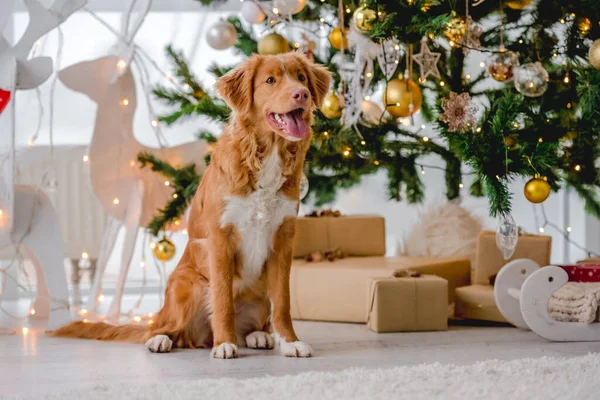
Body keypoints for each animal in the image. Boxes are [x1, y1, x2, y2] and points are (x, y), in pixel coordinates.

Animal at [50, 50, 332, 360]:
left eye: (301, 77)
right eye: (271, 80)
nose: (301, 94)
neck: (264, 156)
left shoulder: (283, 239)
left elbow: (282, 302)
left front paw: (290, 341)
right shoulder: (220, 237)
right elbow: (222, 299)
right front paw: (224, 343)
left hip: (258, 296)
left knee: (253, 321)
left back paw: (259, 335)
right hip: (188, 285)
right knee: (165, 327)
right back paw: (162, 340)